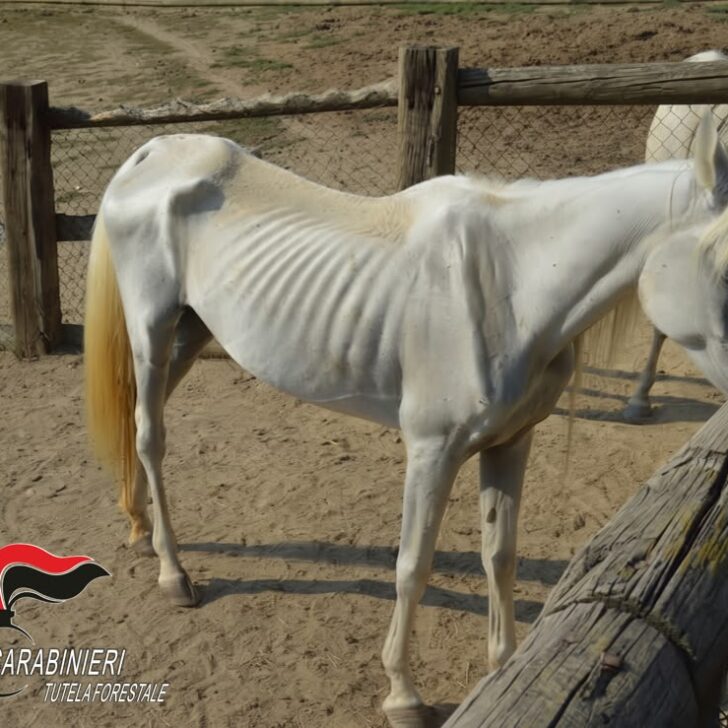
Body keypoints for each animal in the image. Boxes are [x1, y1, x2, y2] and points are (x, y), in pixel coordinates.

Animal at [84, 114, 728, 728]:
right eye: (721, 271)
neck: (515, 284)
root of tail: (153, 153)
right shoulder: (432, 450)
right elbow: (412, 566)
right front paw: (402, 696)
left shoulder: (511, 442)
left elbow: (501, 554)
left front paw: (503, 668)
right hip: (151, 332)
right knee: (150, 436)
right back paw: (173, 574)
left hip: (191, 332)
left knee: (144, 425)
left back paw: (140, 525)